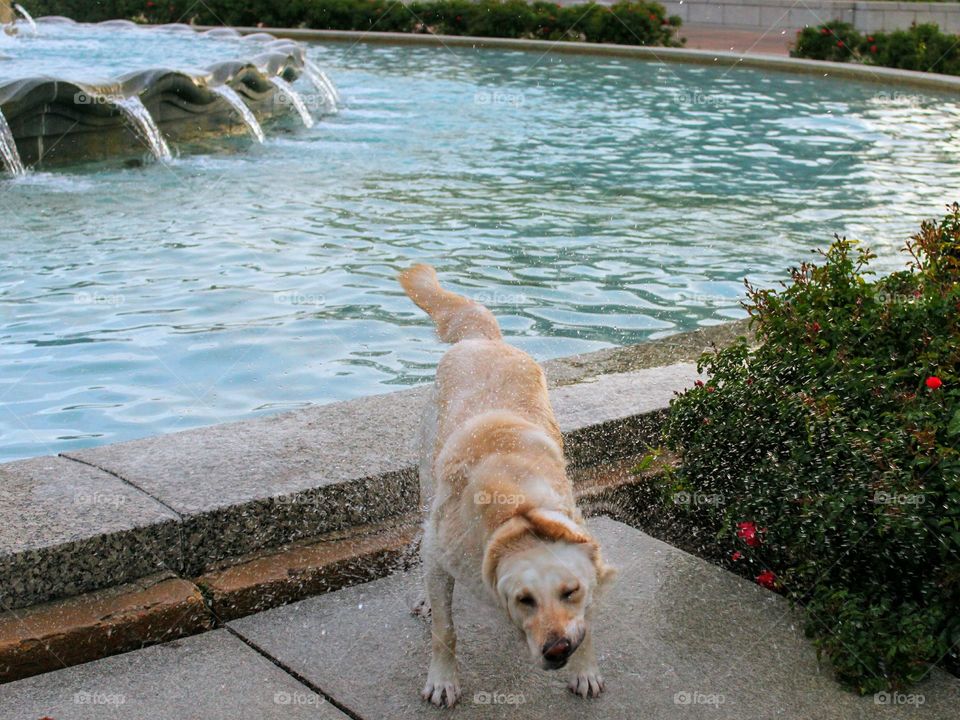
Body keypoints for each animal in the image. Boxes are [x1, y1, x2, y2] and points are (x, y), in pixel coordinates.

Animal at [400, 264, 620, 708]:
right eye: (525, 599)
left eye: (571, 592)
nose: (558, 649)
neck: (518, 510)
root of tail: (485, 340)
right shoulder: (442, 553)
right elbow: (445, 630)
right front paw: (443, 680)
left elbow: (589, 622)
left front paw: (585, 669)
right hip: (426, 481)